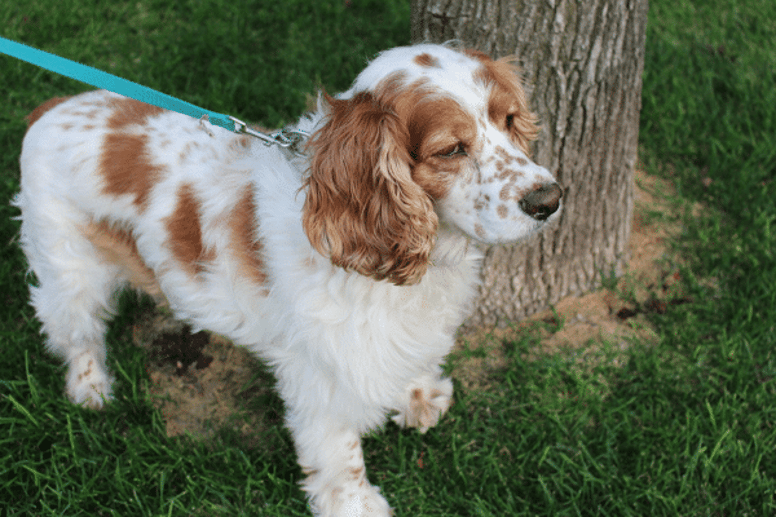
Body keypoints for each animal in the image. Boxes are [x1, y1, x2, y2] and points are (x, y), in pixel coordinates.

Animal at [15, 44, 560, 516]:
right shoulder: (322, 370)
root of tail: (52, 107)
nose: (549, 200)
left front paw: (419, 395)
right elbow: (340, 451)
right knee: (77, 335)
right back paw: (91, 390)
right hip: (68, 269)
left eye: (510, 120)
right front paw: (356, 506)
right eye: (450, 150)